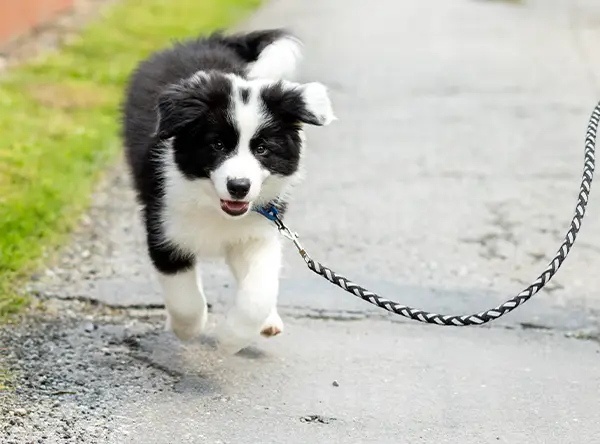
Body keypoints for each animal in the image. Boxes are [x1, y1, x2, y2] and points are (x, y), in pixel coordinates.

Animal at [120, 28, 338, 354]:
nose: (239, 187)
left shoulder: (260, 231)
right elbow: (184, 296)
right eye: (217, 145)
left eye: (262, 149)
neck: (213, 206)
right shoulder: (163, 228)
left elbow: (258, 292)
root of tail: (204, 41)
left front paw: (230, 338)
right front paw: (187, 329)